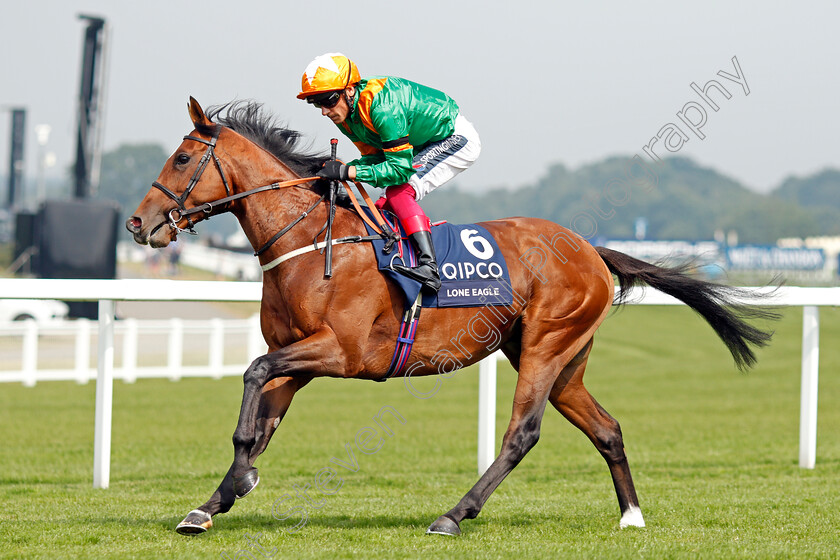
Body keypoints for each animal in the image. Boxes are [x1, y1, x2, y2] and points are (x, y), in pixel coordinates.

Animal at [126, 98, 776, 536]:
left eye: (182, 157)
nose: (137, 223)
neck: (311, 242)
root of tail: (591, 249)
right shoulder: (300, 358)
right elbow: (258, 421)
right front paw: (214, 501)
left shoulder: (341, 351)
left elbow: (254, 373)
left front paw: (238, 483)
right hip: (563, 359)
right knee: (606, 428)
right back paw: (632, 517)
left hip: (546, 346)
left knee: (522, 432)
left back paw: (454, 514)